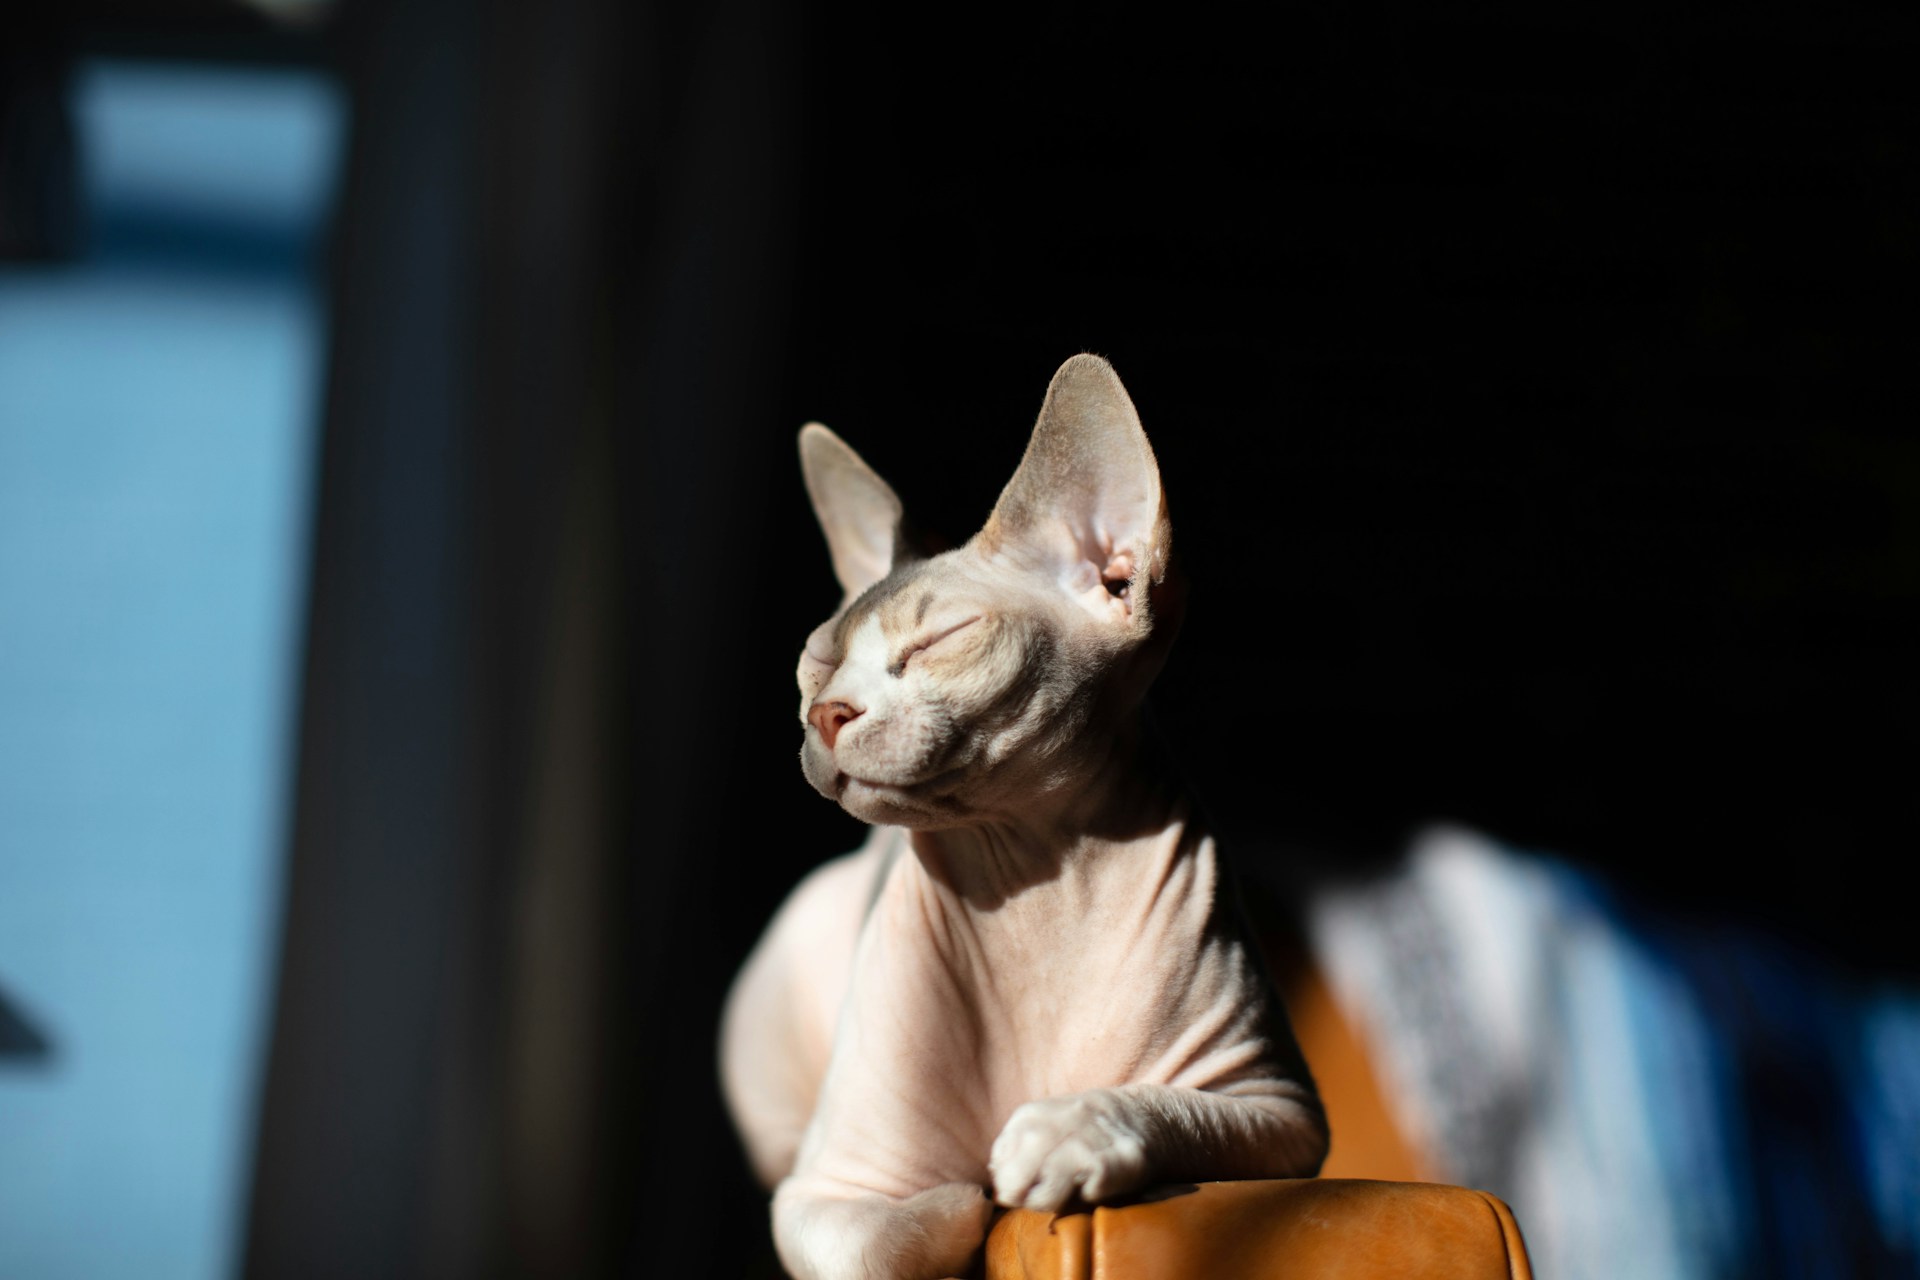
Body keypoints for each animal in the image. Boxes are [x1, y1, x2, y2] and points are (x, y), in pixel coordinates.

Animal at [721, 353, 1320, 1280]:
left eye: (938, 642)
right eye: (813, 666)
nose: (825, 714)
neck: (1035, 883)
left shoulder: (1277, 1109)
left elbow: (1168, 1109)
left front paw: (1066, 1134)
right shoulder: (827, 1191)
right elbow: (919, 1226)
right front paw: (971, 1190)